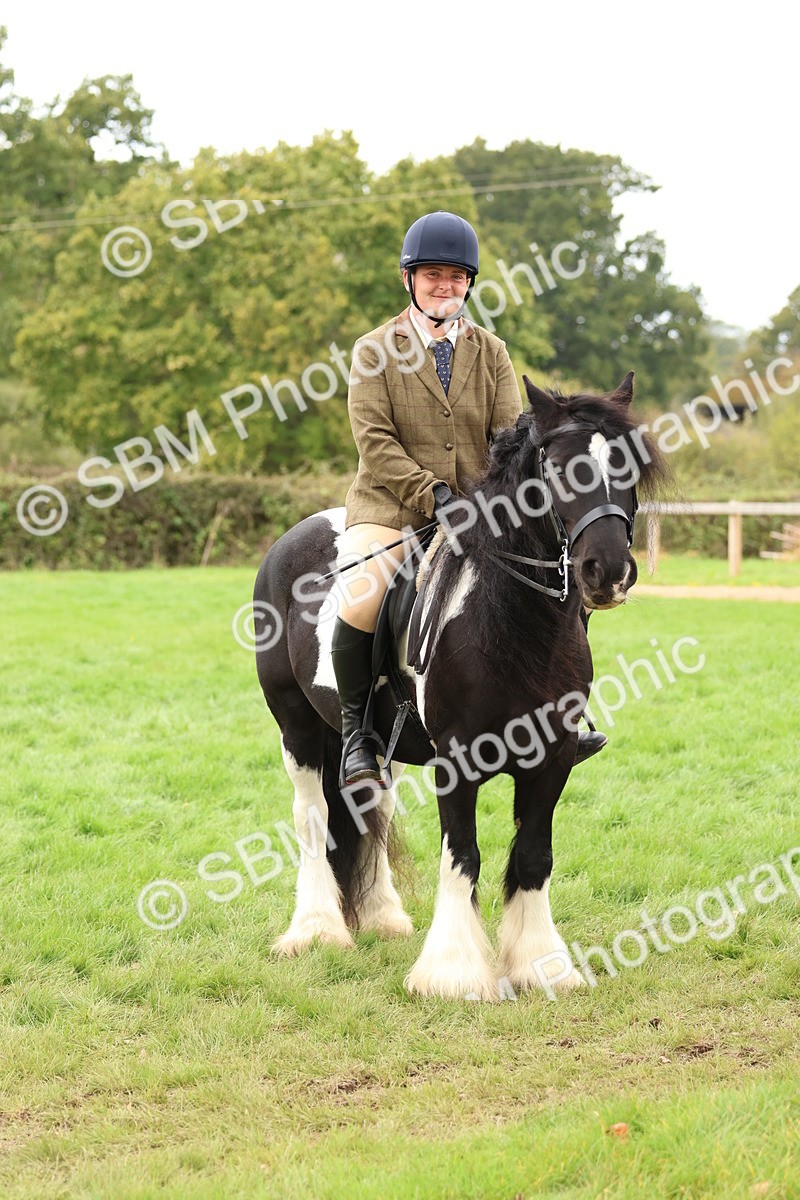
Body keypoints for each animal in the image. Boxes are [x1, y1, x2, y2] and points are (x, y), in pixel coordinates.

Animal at [253, 372, 666, 1000]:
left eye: (628, 465)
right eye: (557, 466)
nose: (609, 571)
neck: (514, 622)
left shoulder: (553, 758)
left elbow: (533, 857)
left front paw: (541, 965)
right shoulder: (457, 761)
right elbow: (462, 855)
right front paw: (453, 973)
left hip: (379, 743)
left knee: (372, 807)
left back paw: (383, 918)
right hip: (296, 726)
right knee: (312, 816)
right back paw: (316, 931)